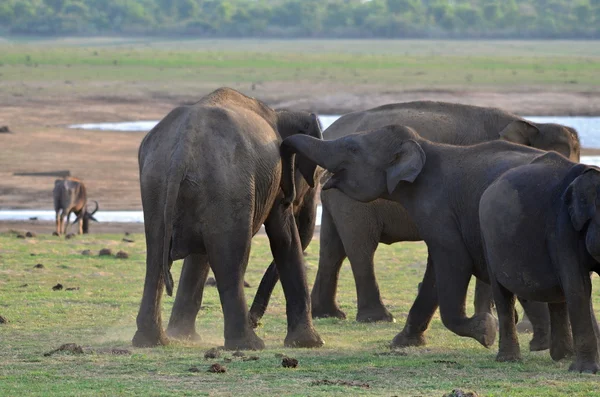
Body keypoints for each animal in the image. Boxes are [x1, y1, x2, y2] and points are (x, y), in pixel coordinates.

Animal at [134, 87, 326, 350]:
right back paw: (249, 344)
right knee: (232, 259)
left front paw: (185, 337)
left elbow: (199, 255)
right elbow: (285, 236)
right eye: (317, 178)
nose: (257, 320)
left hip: (157, 182)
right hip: (228, 185)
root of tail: (183, 148)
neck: (280, 114)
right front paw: (311, 344)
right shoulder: (276, 184)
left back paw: (152, 341)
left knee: (155, 257)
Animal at [247, 101, 576, 350]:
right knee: (359, 247)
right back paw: (376, 318)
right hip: (350, 205)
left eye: (352, 149)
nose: (255, 321)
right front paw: (488, 326)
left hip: (335, 201)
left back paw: (333, 314)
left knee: (333, 246)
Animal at [480, 155, 600, 372]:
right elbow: (578, 286)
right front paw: (585, 371)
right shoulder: (563, 229)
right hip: (487, 240)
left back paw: (563, 356)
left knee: (558, 293)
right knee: (503, 294)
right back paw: (509, 359)